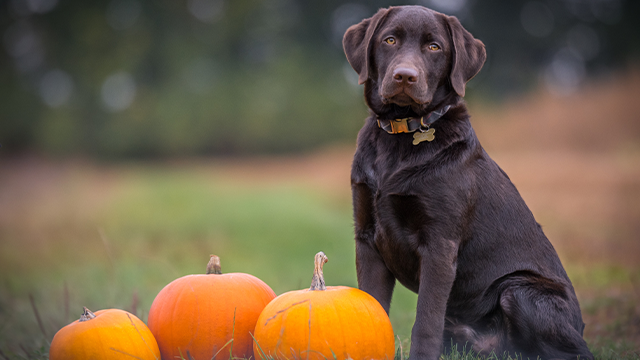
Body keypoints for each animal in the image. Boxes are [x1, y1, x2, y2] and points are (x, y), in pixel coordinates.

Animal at [342, 5, 592, 360]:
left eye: (434, 47)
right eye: (389, 40)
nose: (405, 76)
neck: (401, 136)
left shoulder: (439, 244)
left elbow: (425, 319)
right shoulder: (367, 238)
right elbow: (372, 306)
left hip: (518, 290)